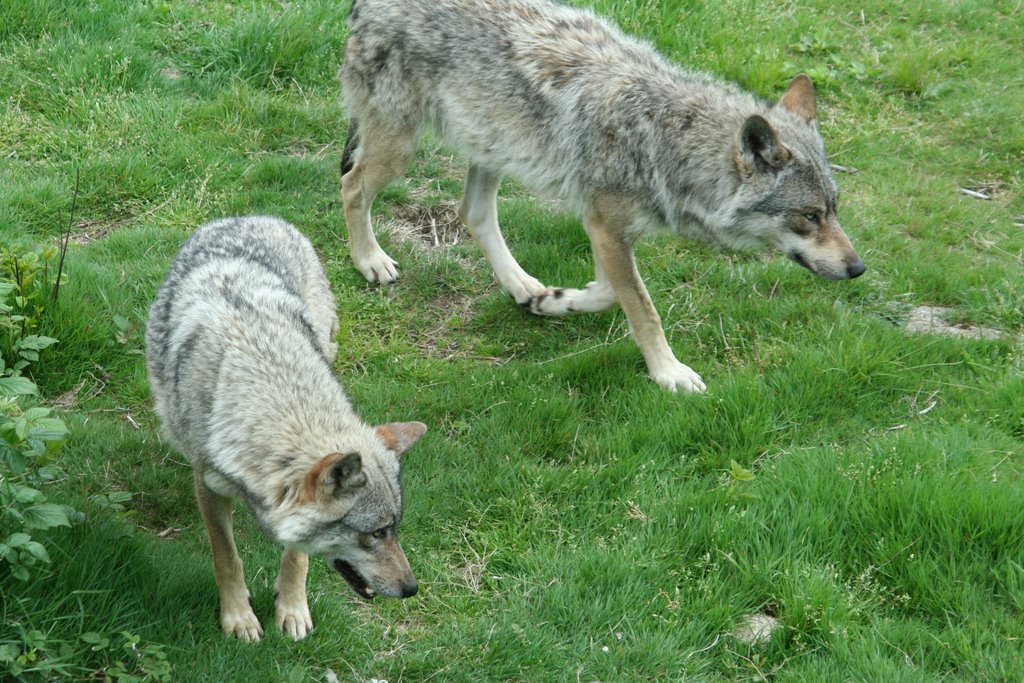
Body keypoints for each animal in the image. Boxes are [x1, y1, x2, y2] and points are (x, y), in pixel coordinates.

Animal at [146, 216, 425, 643]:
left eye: (395, 528)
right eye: (377, 533)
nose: (412, 589)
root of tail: (254, 216)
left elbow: (297, 556)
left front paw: (292, 609)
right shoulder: (207, 485)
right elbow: (226, 557)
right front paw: (238, 617)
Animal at [337, 0, 864, 395]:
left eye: (834, 209)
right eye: (809, 216)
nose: (858, 268)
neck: (664, 139)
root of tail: (367, 4)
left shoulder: (606, 230)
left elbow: (611, 292)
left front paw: (556, 302)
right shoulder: (605, 226)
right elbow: (640, 307)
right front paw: (669, 373)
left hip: (493, 147)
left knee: (473, 213)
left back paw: (522, 285)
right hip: (400, 150)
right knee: (352, 187)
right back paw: (370, 261)